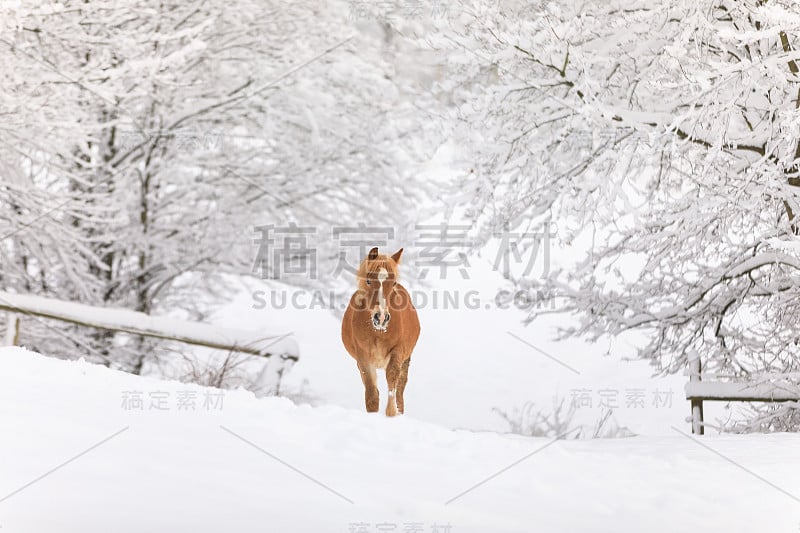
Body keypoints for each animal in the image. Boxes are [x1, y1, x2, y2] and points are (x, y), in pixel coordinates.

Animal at [340, 245, 422, 416]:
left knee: (400, 388)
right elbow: (371, 392)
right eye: (369, 280)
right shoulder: (363, 357)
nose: (382, 317)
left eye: (394, 282)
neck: (378, 332)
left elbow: (392, 380)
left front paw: (391, 413)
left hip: (406, 359)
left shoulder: (398, 351)